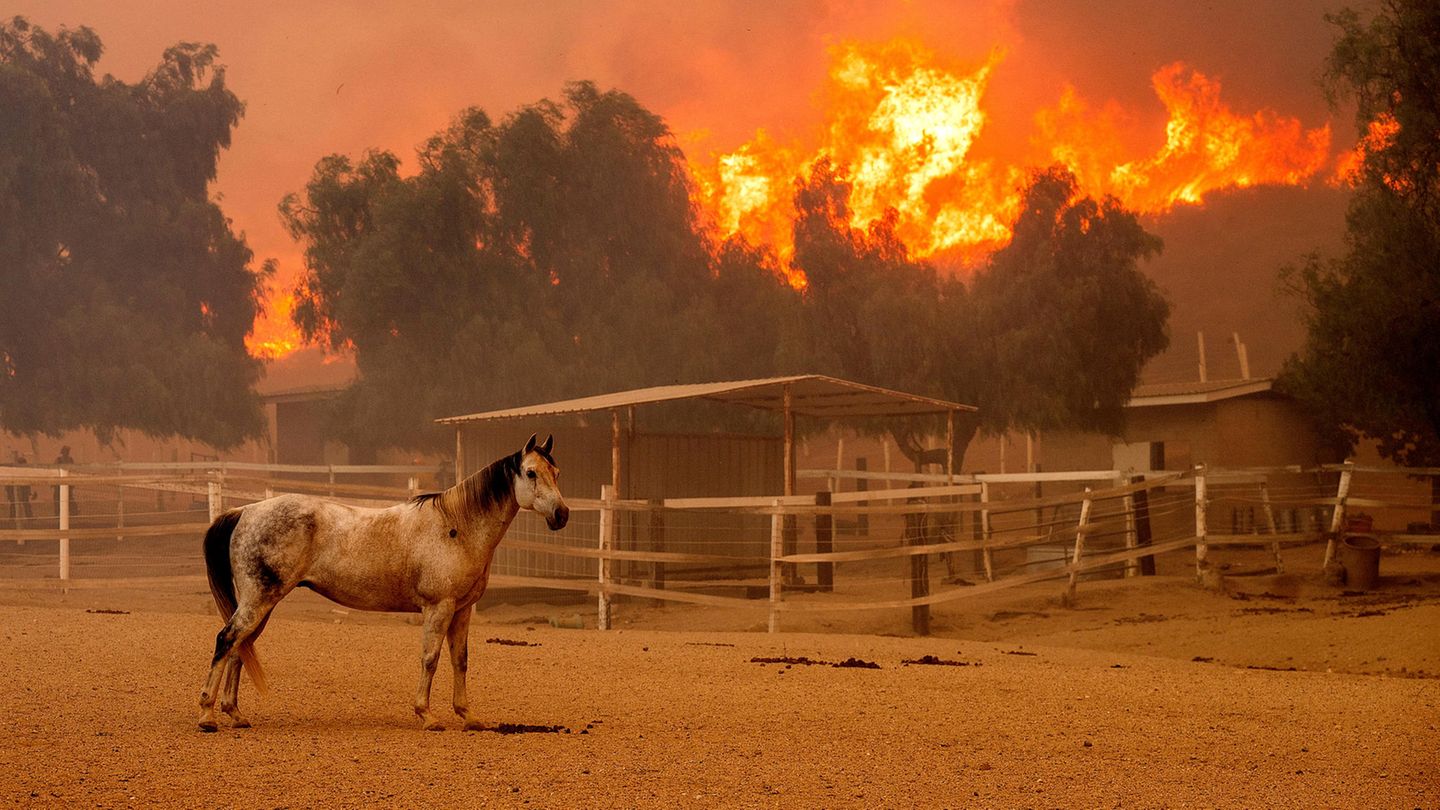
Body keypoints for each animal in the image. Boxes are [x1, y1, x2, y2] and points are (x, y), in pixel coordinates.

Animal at [197, 432, 567, 729]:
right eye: (531, 472)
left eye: (557, 472)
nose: (561, 514)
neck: (457, 527)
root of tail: (246, 511)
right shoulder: (439, 608)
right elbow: (430, 658)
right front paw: (427, 716)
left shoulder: (462, 611)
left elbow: (460, 661)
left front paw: (468, 716)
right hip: (258, 601)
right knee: (226, 640)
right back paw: (207, 715)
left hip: (262, 604)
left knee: (239, 647)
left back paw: (235, 714)